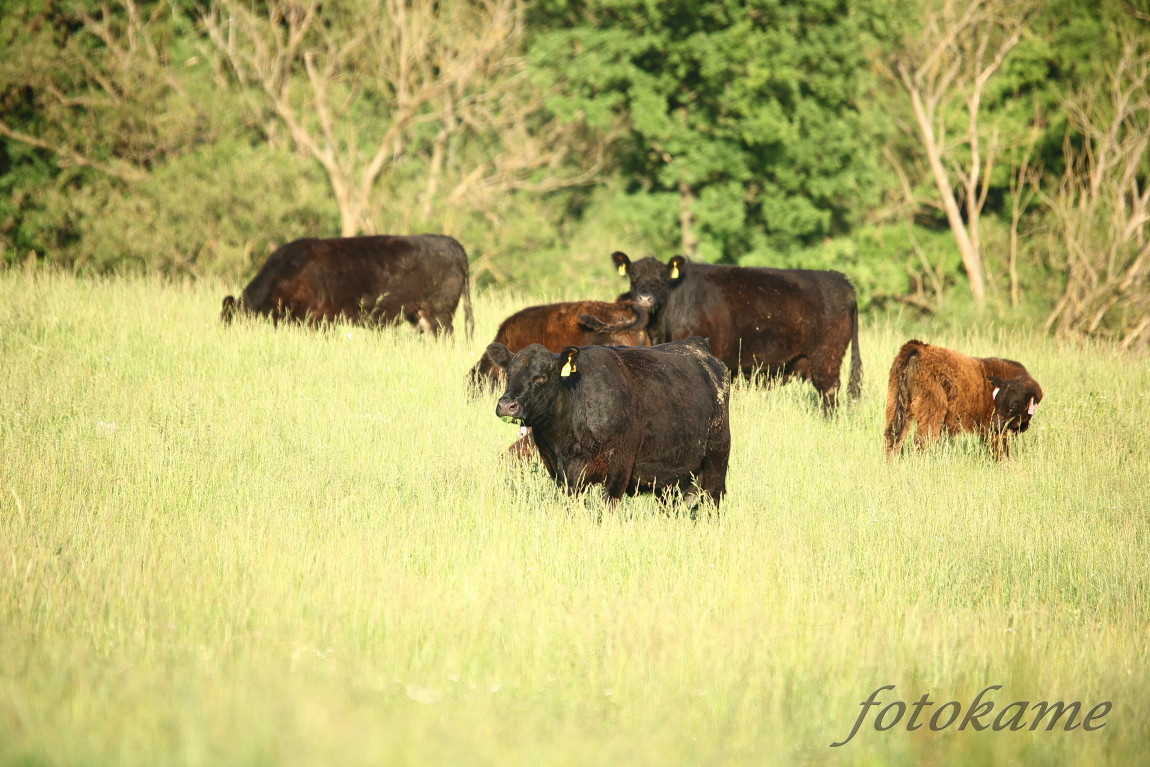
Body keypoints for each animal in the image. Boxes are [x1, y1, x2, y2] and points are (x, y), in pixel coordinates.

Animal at [485, 335, 726, 510]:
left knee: (714, 499)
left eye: (541, 377)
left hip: (717, 455)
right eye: (509, 375)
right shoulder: (560, 472)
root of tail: (697, 345)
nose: (507, 405)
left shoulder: (619, 467)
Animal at [616, 251, 860, 411]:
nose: (644, 299)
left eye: (661, 278)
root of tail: (839, 279)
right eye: (633, 276)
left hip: (826, 358)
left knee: (829, 392)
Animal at [883, 340, 1048, 459]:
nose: (995, 423)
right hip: (931, 414)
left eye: (1013, 406)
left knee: (892, 437)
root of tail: (918, 348)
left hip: (896, 406)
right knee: (921, 441)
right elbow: (1000, 452)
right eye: (997, 402)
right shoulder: (996, 433)